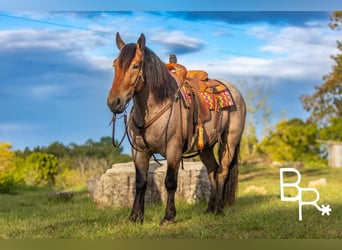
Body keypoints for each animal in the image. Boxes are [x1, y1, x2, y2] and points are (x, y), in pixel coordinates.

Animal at [107, 31, 246, 225]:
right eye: (114, 65)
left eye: (135, 66)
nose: (114, 102)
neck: (156, 106)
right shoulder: (140, 152)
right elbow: (140, 182)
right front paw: (135, 217)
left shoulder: (173, 149)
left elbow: (170, 182)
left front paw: (169, 217)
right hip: (205, 147)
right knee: (212, 171)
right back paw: (210, 208)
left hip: (229, 142)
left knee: (223, 172)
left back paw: (218, 208)